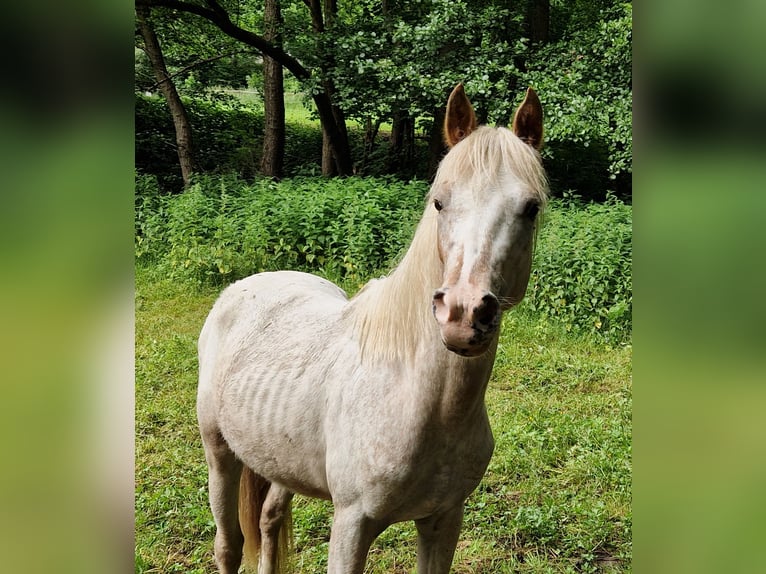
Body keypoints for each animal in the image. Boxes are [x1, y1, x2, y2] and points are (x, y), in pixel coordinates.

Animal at [196, 85, 544, 574]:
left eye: (530, 208)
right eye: (440, 201)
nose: (463, 313)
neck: (418, 398)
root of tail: (242, 288)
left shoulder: (443, 520)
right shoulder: (352, 524)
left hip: (278, 460)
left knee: (268, 519)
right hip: (219, 455)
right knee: (228, 545)